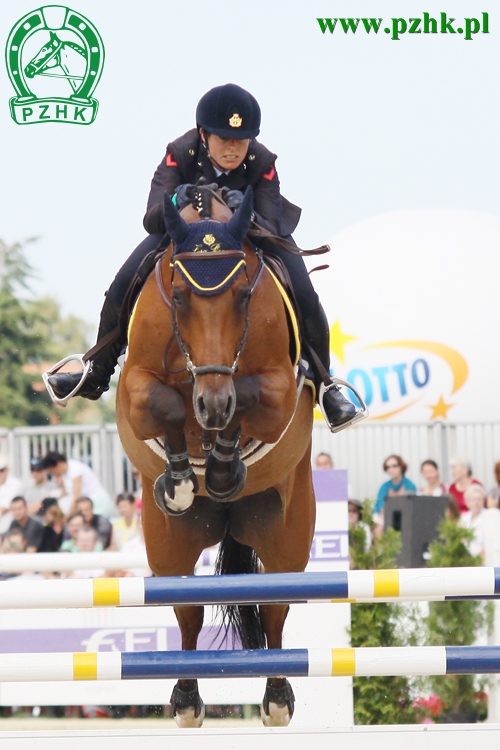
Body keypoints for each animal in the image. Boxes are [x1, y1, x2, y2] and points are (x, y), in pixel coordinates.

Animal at [115, 188, 314, 728]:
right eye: (180, 296)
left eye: (243, 295)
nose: (212, 404)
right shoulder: (134, 389)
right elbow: (165, 403)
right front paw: (182, 480)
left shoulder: (279, 391)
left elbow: (248, 395)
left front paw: (223, 467)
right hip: (168, 546)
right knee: (188, 609)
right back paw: (186, 698)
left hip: (288, 534)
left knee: (275, 607)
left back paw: (277, 696)